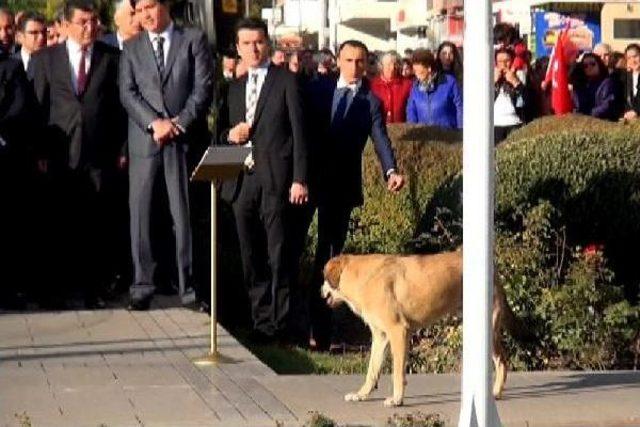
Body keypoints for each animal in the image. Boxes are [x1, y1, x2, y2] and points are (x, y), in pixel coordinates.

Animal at [322, 251, 528, 408]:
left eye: (323, 278)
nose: (320, 291)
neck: (362, 276)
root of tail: (493, 269)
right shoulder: (381, 337)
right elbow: (372, 370)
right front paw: (362, 394)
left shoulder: (398, 332)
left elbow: (397, 373)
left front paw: (397, 400)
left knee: (502, 360)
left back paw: (495, 393)